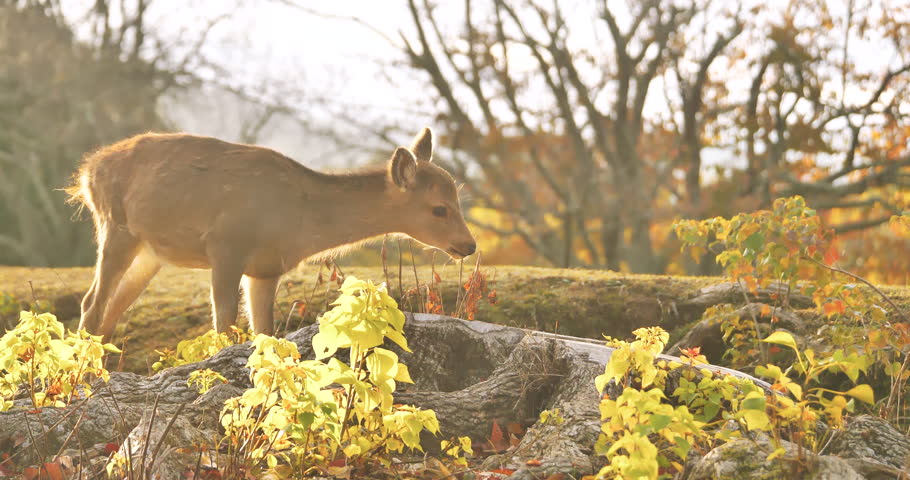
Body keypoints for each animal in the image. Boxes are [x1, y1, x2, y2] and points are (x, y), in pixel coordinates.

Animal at [66, 128, 476, 340]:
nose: (469, 245)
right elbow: (224, 325)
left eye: (458, 196)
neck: (298, 222)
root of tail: (87, 171)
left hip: (151, 252)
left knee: (109, 312)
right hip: (115, 226)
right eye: (439, 208)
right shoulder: (225, 245)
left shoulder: (265, 269)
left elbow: (265, 332)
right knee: (91, 304)